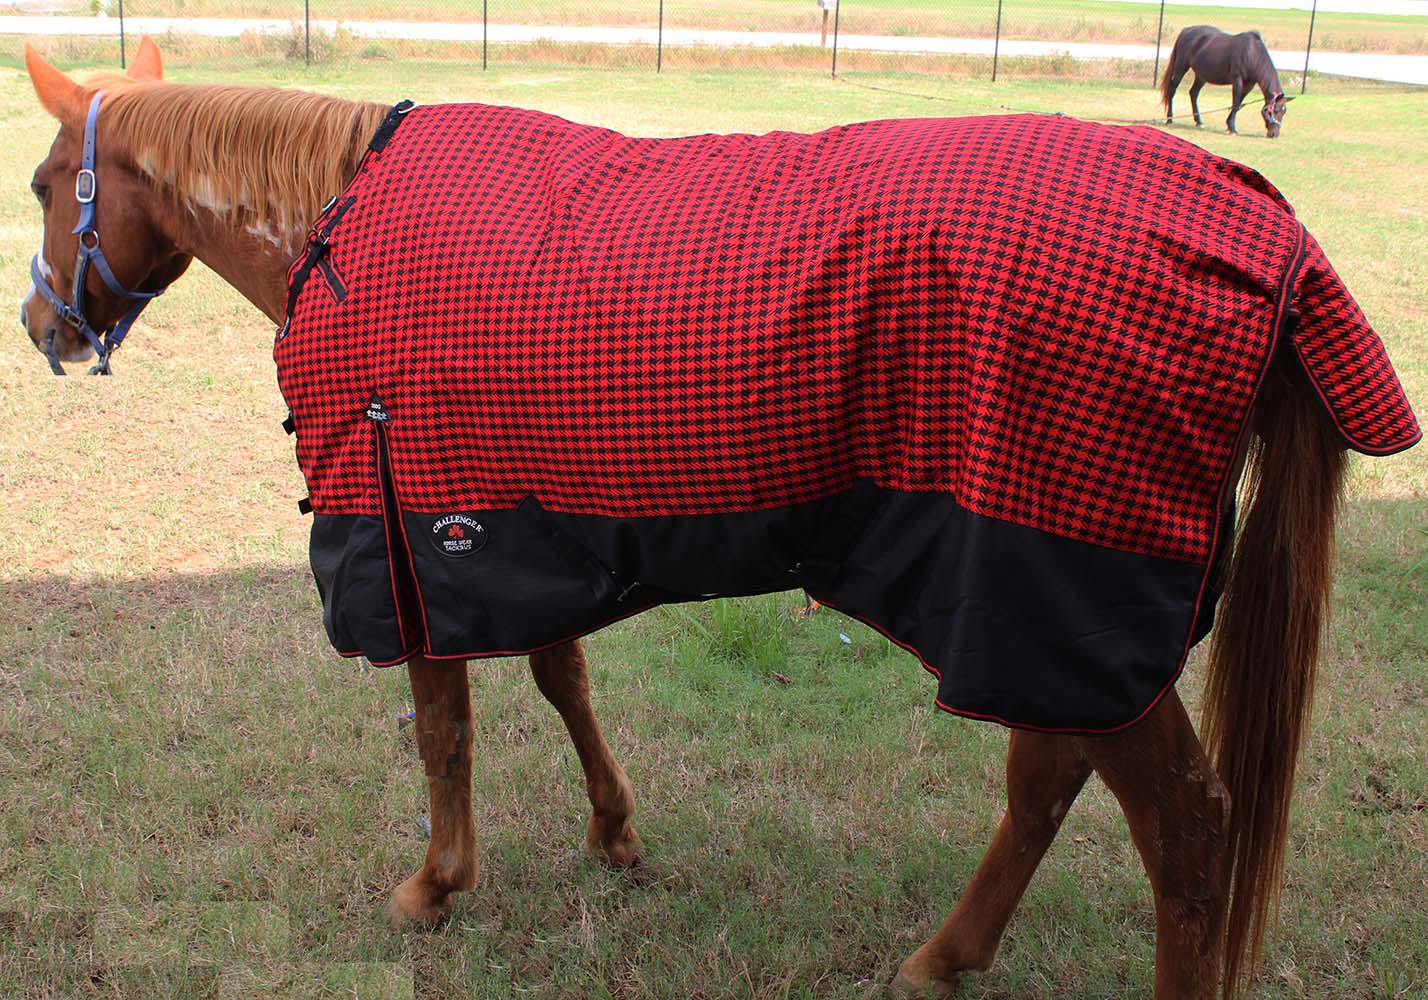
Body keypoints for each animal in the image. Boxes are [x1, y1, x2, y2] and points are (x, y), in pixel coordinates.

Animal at [19, 40, 1419, 1000]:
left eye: (39, 180)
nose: (44, 330)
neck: (340, 227)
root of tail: (1261, 224)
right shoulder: (521, 523)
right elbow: (561, 678)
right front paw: (613, 830)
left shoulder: (409, 531)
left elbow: (443, 732)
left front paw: (436, 885)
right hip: (1050, 617)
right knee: (1050, 777)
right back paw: (943, 956)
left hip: (1067, 591)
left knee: (1185, 828)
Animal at [1160, 26, 1290, 137]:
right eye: (1275, 110)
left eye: (1284, 112)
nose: (1274, 134)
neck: (1251, 53)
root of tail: (1186, 30)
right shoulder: (1237, 80)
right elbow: (1236, 103)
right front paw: (1232, 128)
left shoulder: (1249, 85)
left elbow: (1238, 104)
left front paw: (1228, 125)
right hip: (1181, 67)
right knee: (1172, 89)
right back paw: (1170, 119)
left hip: (1201, 76)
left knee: (1193, 93)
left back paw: (1199, 122)